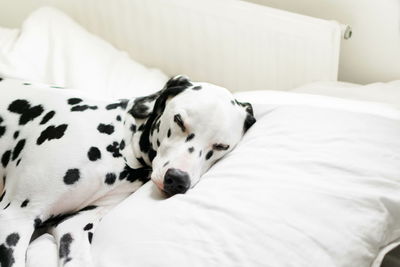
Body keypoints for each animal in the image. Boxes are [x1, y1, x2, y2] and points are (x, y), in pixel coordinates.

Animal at [0, 75, 256, 267]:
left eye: (221, 146)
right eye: (179, 121)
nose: (177, 179)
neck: (123, 144)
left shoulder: (73, 228)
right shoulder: (15, 219)